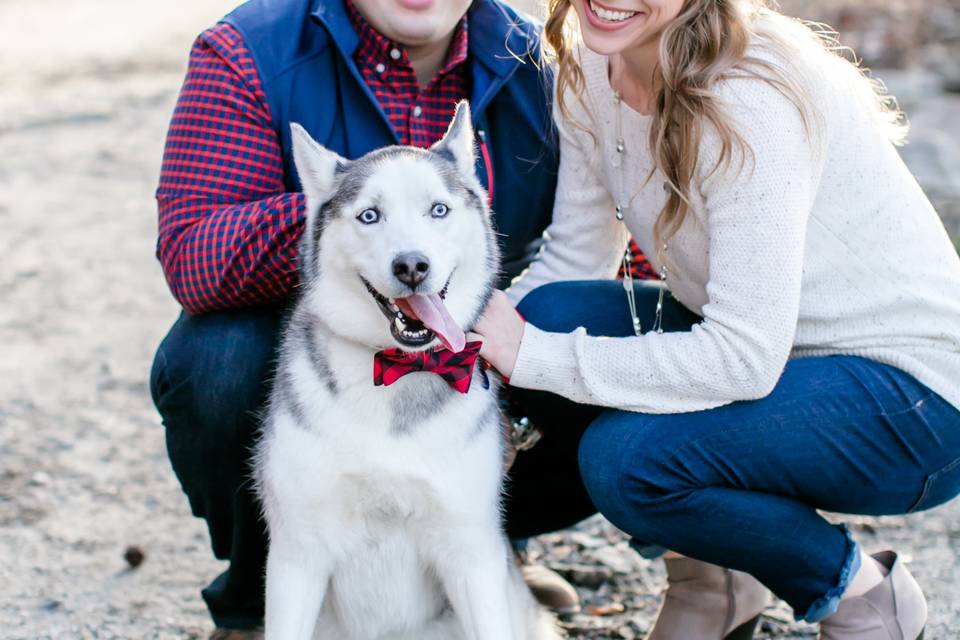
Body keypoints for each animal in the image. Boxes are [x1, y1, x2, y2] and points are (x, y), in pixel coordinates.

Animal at [255, 105, 560, 640]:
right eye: (369, 215)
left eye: (438, 210)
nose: (412, 265)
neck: (397, 369)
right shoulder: (298, 553)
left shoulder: (471, 552)